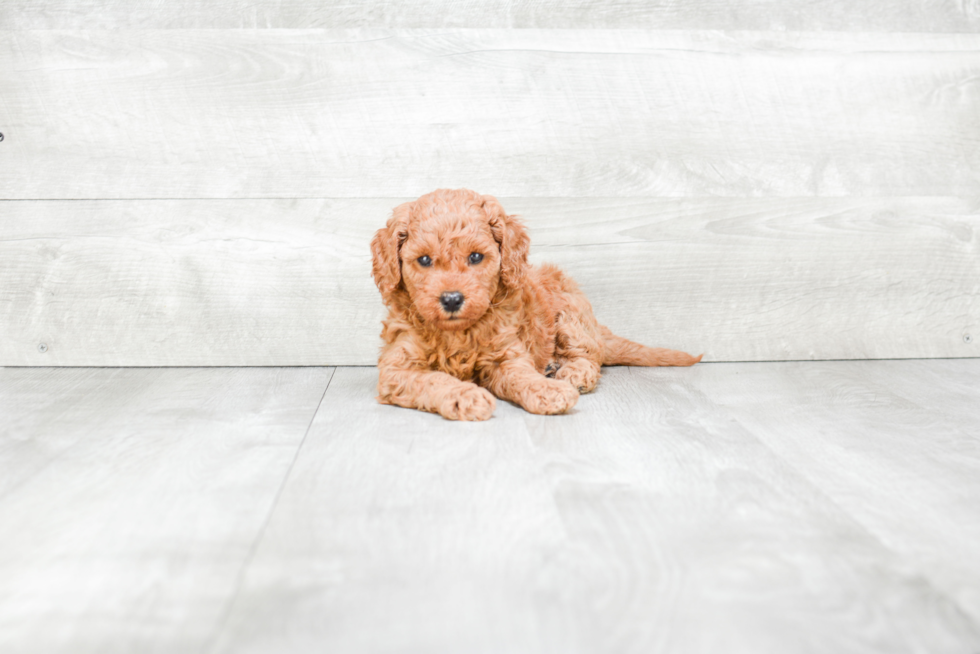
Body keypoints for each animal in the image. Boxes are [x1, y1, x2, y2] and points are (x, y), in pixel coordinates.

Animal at [370, 187, 704, 422]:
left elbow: (523, 375)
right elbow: (433, 380)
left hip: (570, 314)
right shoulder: (396, 368)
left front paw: (547, 391)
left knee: (590, 356)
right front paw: (466, 396)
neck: (458, 333)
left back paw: (571, 373)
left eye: (475, 257)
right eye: (424, 260)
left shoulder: (507, 355)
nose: (452, 299)